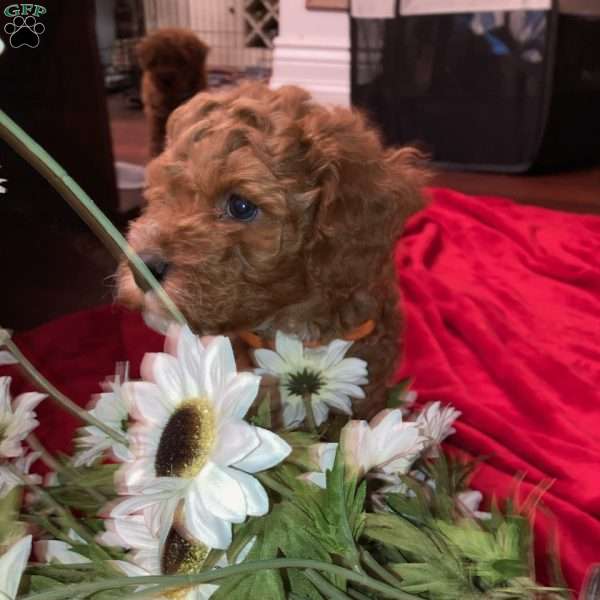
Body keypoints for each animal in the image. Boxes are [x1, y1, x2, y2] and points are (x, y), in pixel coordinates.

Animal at [137, 27, 210, 157]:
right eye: (156, 60)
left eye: (181, 60)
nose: (165, 79)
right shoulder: (156, 114)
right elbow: (156, 137)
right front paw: (156, 153)